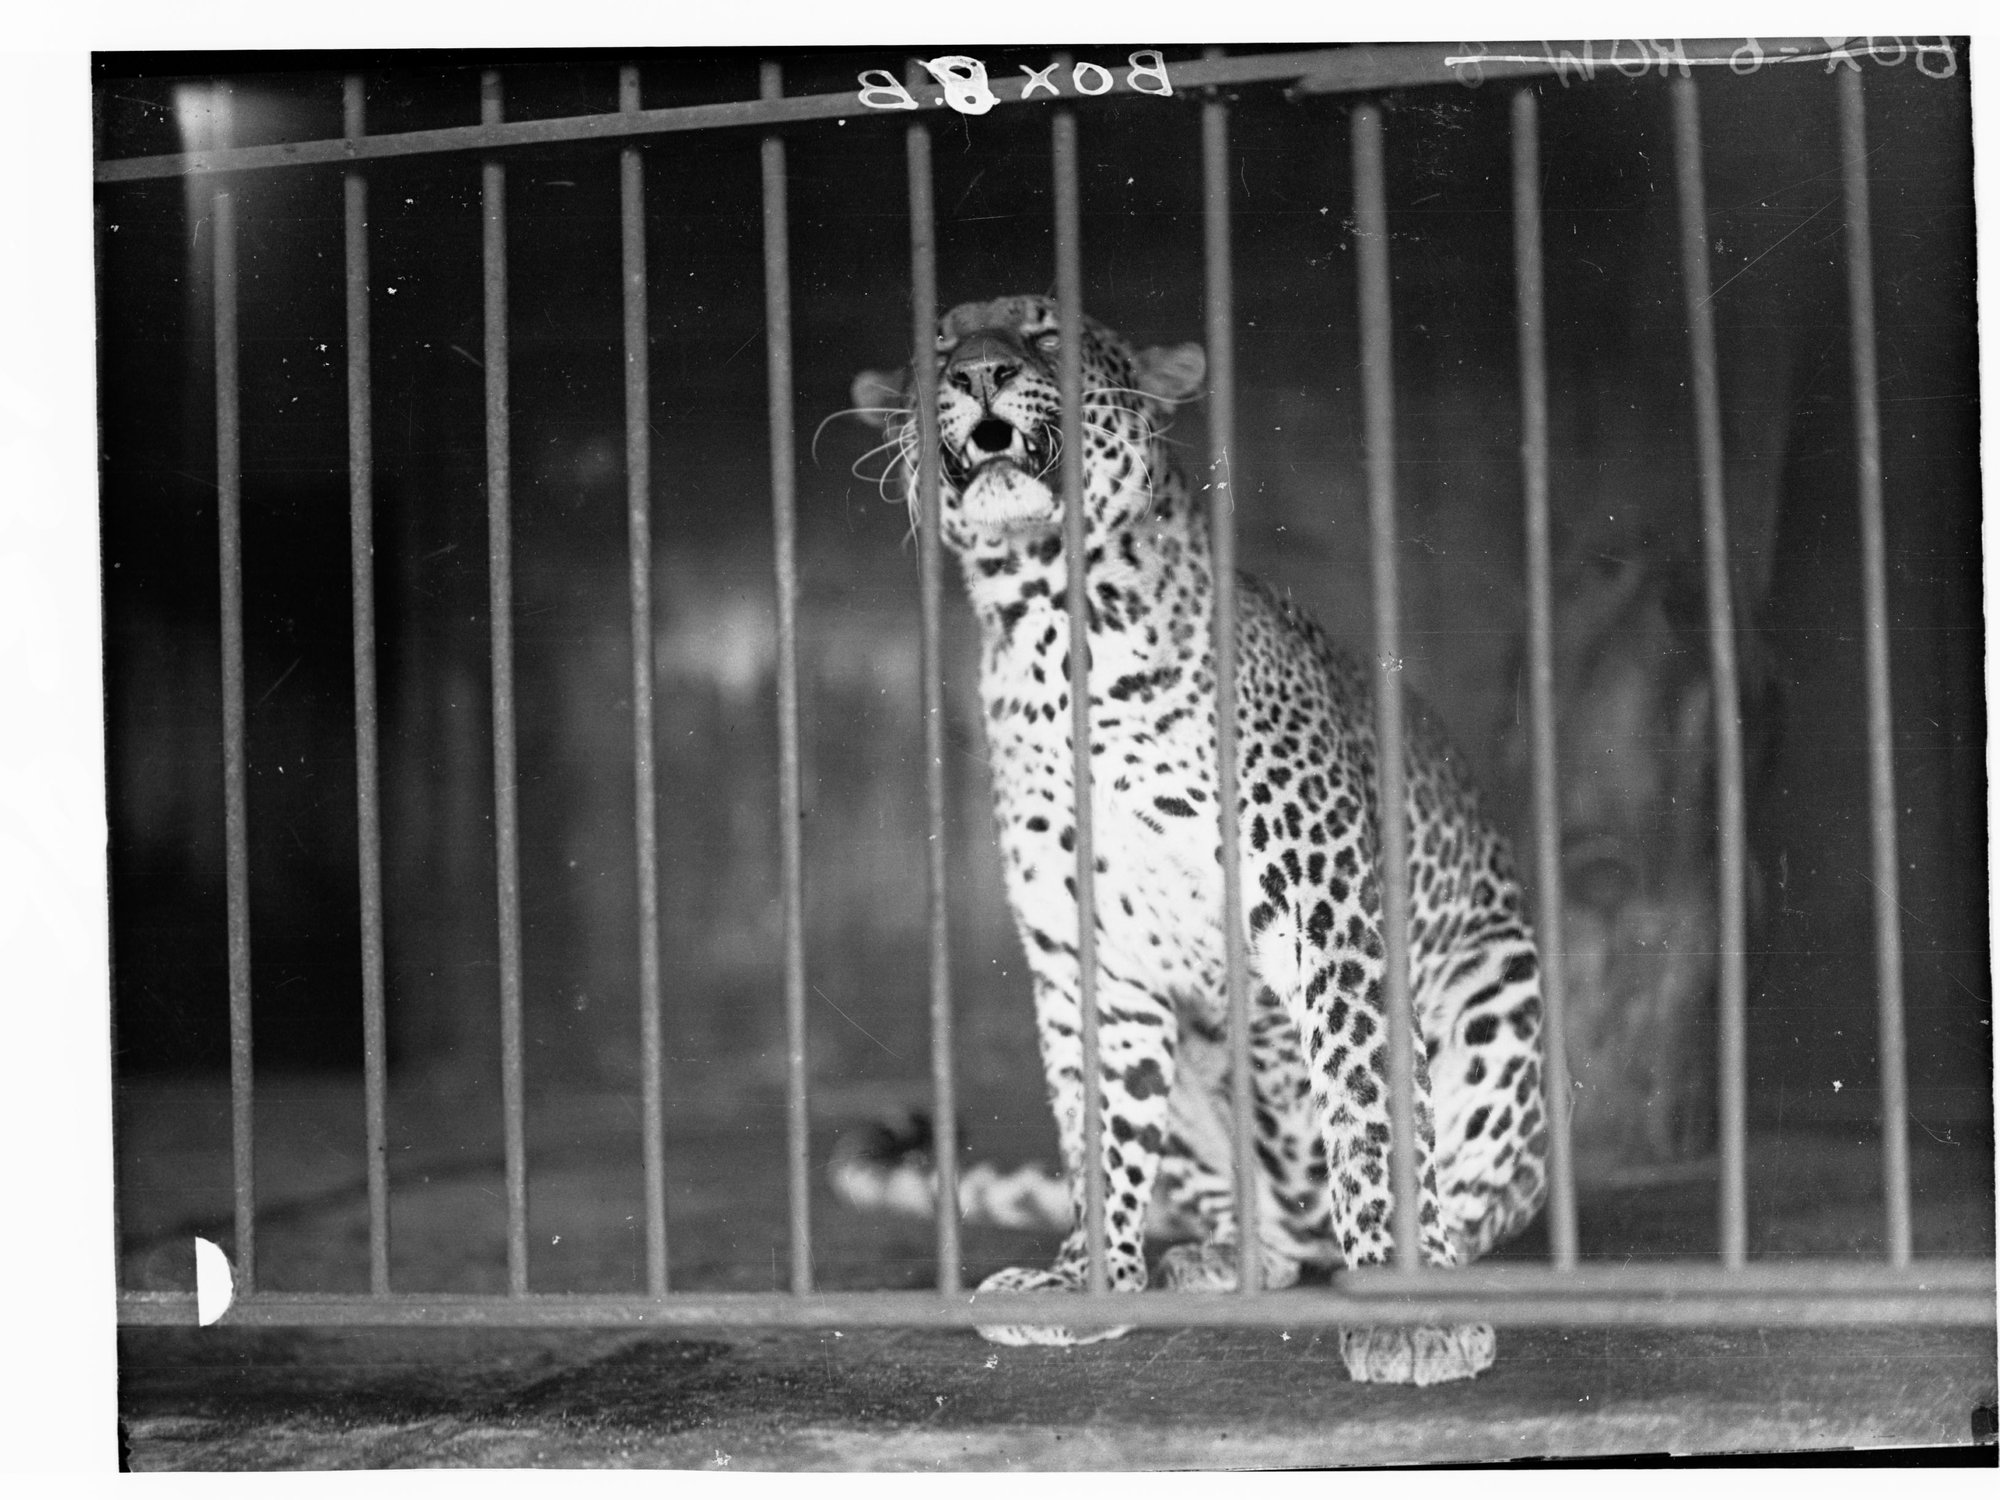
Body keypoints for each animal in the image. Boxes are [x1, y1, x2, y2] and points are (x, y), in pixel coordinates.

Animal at [850, 294, 1549, 1385]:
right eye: (939, 346)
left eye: (1045, 332)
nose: (978, 375)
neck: (1057, 632)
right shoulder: (1091, 960)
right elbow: (1098, 1137)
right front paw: (1086, 1285)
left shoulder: (1328, 915)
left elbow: (1370, 1107)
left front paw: (1414, 1313)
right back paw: (1225, 1256)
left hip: (1497, 980)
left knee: (1478, 1197)